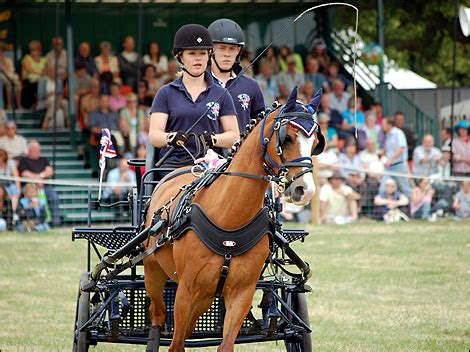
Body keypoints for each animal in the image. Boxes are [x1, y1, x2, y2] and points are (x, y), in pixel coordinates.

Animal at [142, 86, 324, 350]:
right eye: (287, 138)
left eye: (316, 143)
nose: (305, 190)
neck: (229, 217)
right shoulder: (186, 290)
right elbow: (176, 345)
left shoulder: (241, 293)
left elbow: (225, 344)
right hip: (153, 272)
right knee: (158, 315)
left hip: (205, 296)